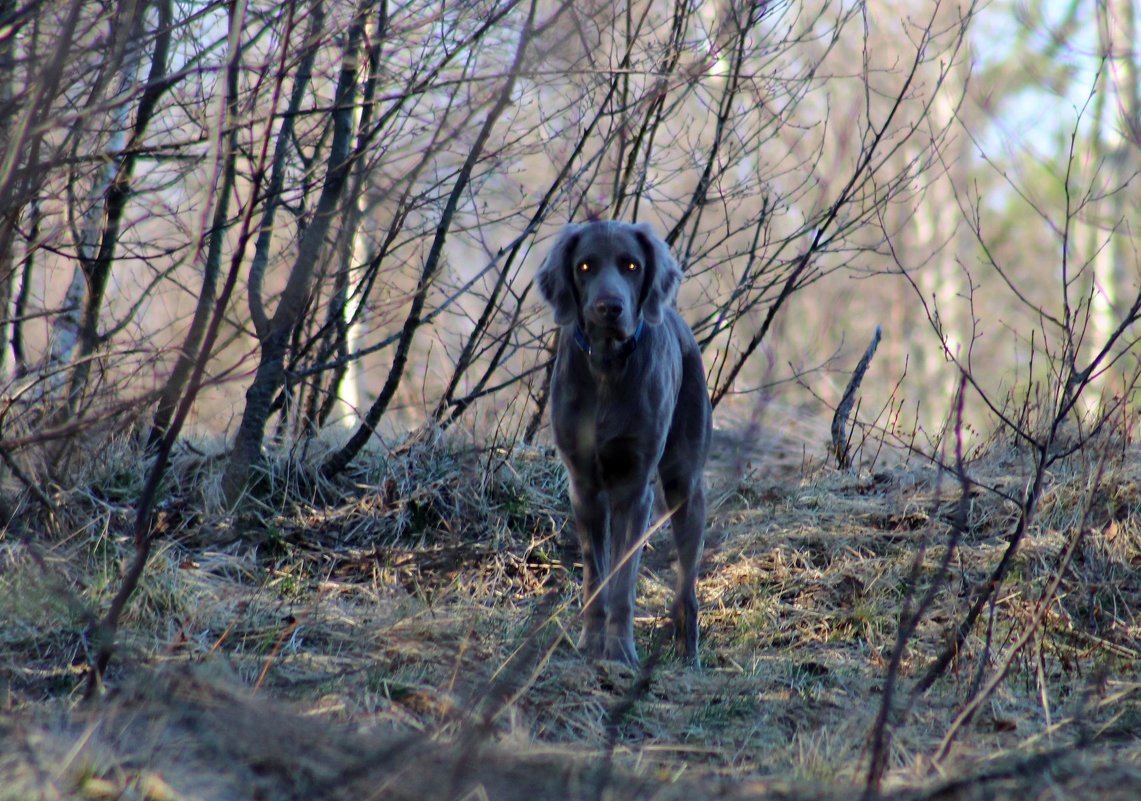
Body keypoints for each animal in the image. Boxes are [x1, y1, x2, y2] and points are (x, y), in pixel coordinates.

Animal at [536, 219, 711, 666]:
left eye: (631, 265)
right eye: (584, 266)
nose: (608, 307)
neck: (606, 366)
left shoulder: (635, 486)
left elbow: (622, 580)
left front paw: (618, 650)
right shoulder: (584, 487)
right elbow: (596, 576)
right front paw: (591, 641)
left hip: (685, 483)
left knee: (687, 583)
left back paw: (687, 650)